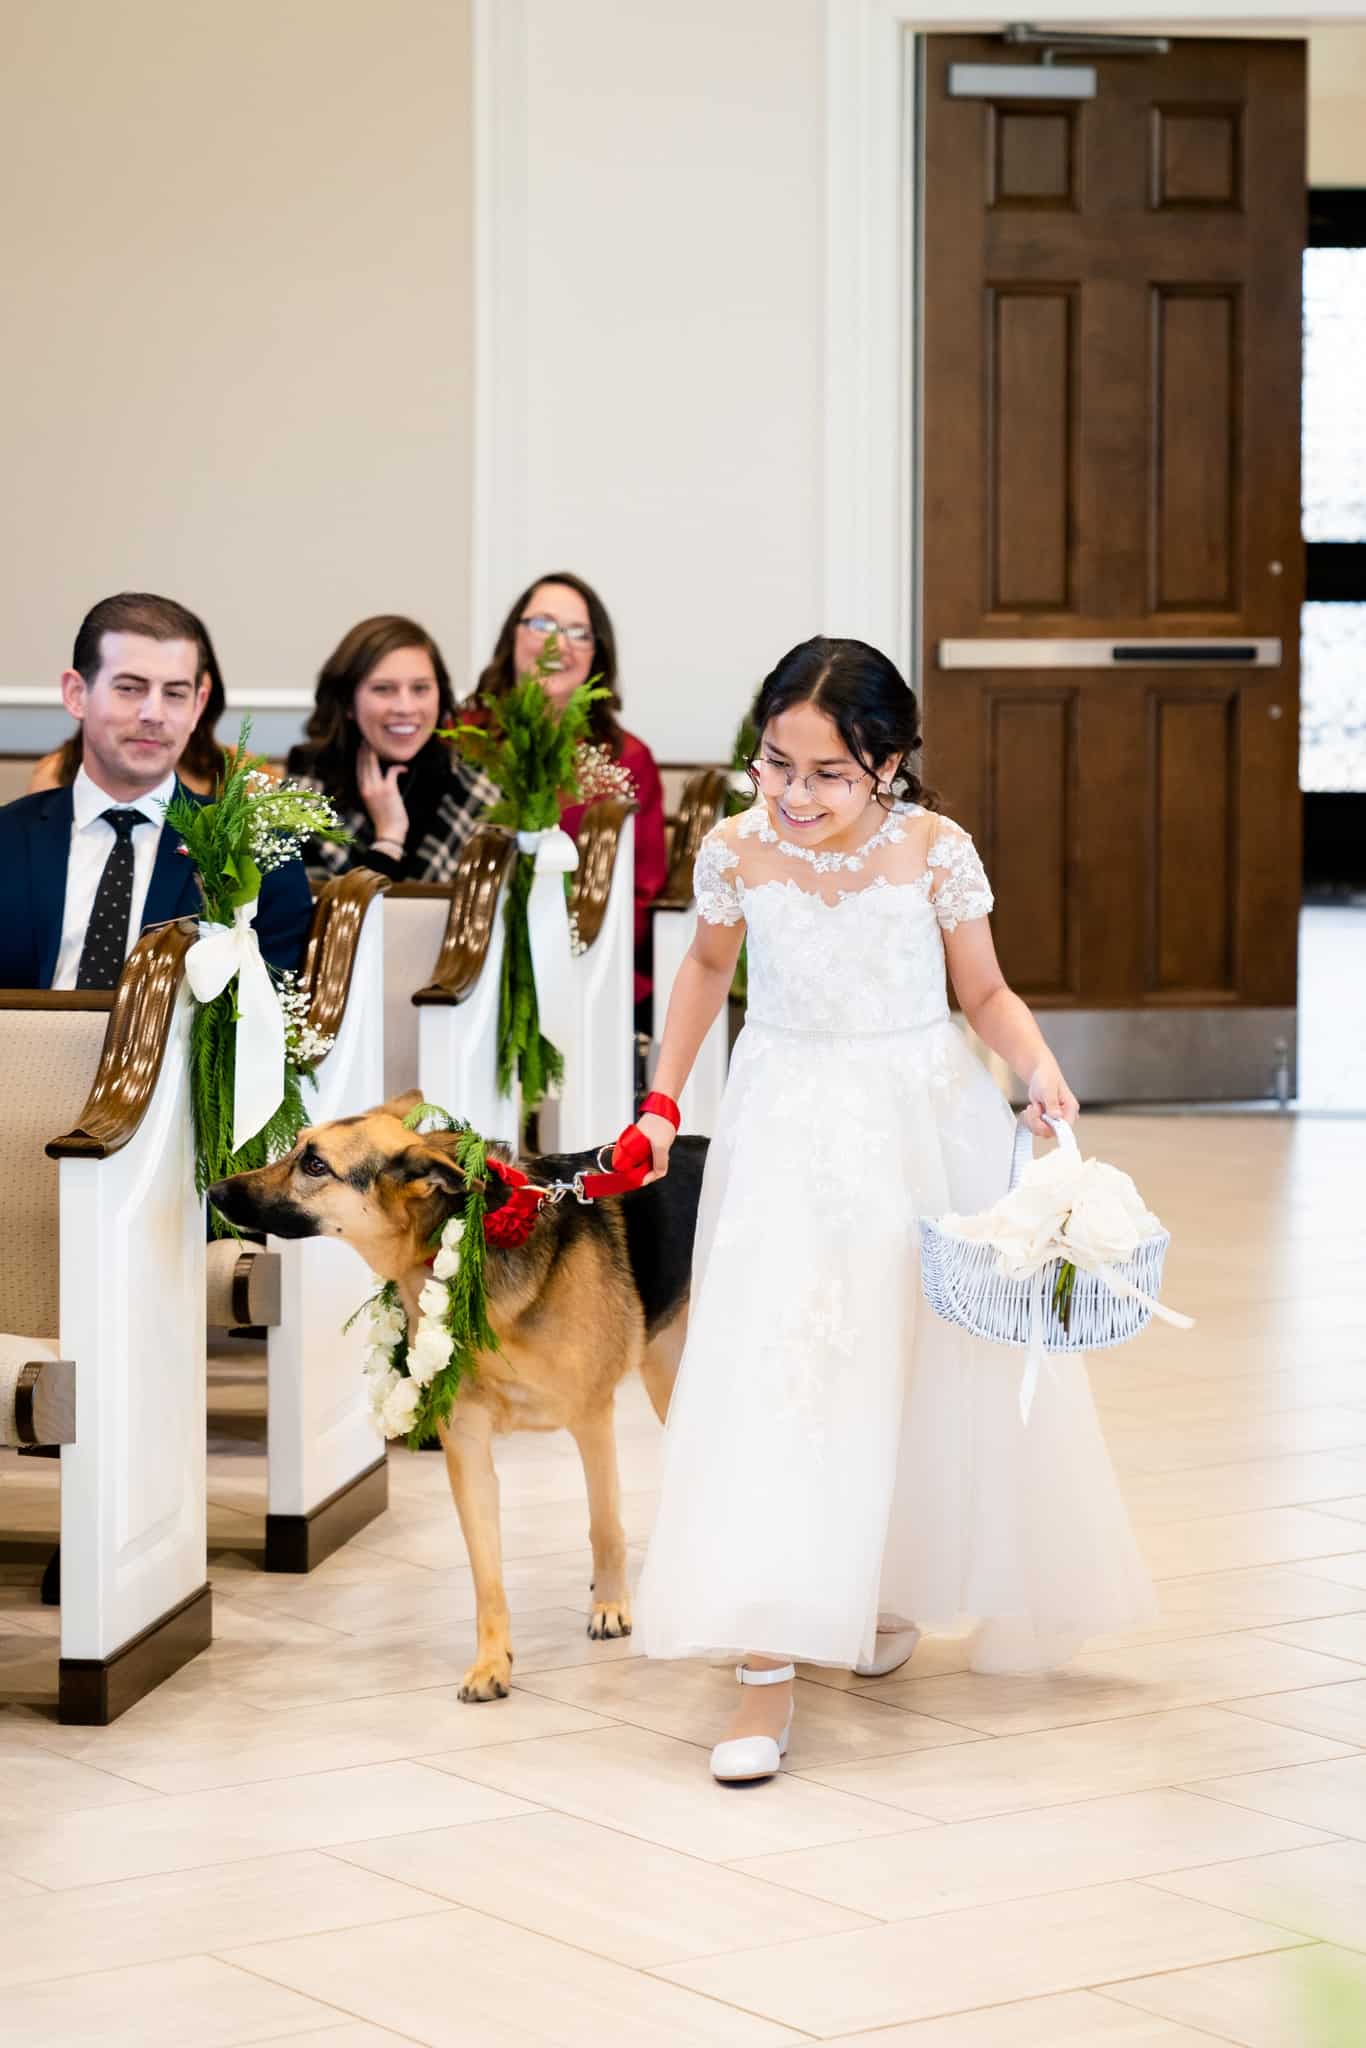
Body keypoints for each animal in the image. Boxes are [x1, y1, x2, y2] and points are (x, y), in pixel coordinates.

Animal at [214, 1097, 712, 1703]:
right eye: (295, 1149)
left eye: (315, 1165)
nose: (214, 1190)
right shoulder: (468, 1450)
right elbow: (486, 1574)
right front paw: (491, 1663)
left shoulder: (592, 1419)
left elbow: (604, 1523)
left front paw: (611, 1606)